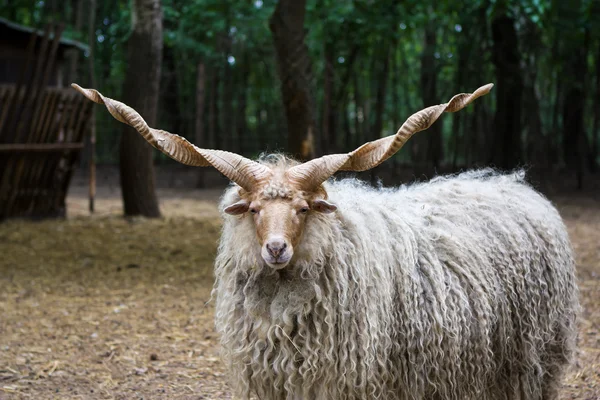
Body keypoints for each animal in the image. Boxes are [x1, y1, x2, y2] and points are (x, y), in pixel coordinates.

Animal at [72, 82, 580, 400]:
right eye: (253, 210)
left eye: (303, 209)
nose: (276, 249)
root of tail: (516, 186)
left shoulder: (344, 377)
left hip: (531, 360)